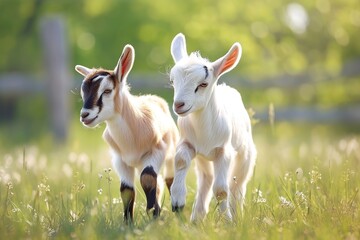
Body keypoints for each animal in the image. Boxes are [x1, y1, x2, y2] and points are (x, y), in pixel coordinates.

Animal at [74, 44, 179, 223]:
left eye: (107, 90)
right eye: (83, 92)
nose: (85, 115)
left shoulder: (157, 151)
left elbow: (147, 178)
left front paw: (152, 212)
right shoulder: (120, 160)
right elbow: (127, 189)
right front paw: (129, 222)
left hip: (170, 155)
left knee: (170, 180)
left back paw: (177, 210)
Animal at [169, 33, 256, 221]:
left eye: (203, 84)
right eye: (172, 81)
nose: (179, 105)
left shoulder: (224, 150)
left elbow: (222, 190)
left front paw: (227, 221)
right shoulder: (187, 143)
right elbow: (180, 160)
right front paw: (177, 201)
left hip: (246, 154)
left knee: (238, 185)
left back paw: (237, 215)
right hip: (203, 159)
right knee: (206, 180)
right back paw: (197, 218)